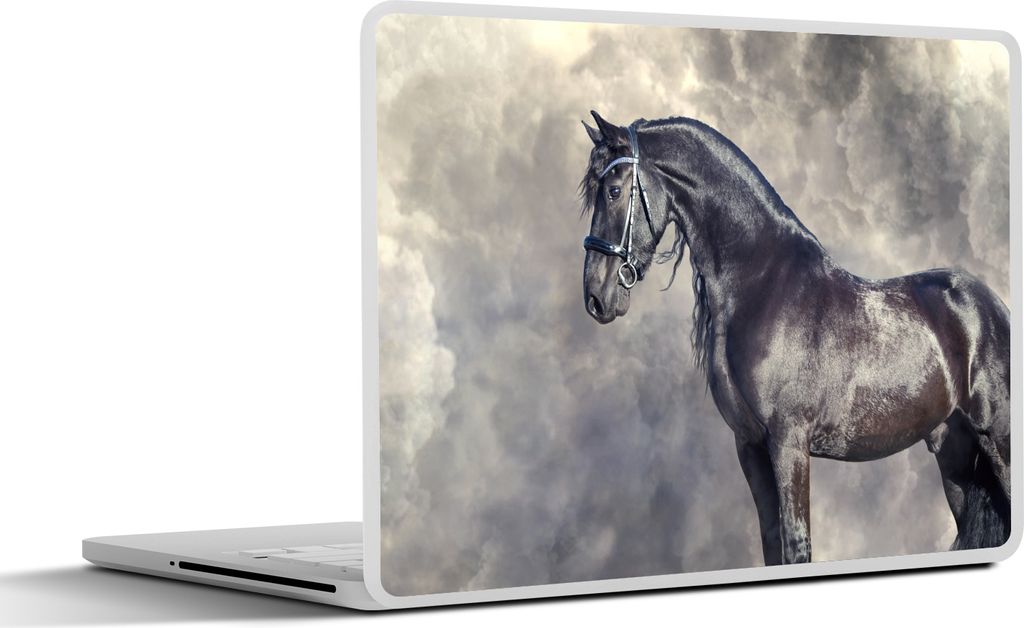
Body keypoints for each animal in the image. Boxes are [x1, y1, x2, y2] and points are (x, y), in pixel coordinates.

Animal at [578, 111, 1011, 565]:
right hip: (954, 454)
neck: (762, 285)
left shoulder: (788, 443)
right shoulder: (750, 446)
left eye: (612, 190)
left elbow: (797, 544)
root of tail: (991, 305)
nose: (595, 297)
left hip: (998, 440)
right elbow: (773, 542)